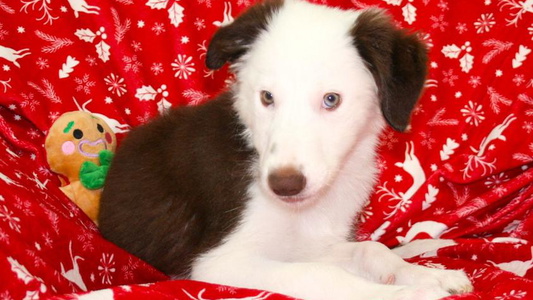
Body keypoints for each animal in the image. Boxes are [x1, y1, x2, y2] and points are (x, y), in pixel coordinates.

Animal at [97, 1, 472, 298]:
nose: (284, 185)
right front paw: (406, 292)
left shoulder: (311, 245)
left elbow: (370, 249)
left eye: (331, 99)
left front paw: (428, 274)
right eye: (267, 97)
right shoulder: (218, 261)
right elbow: (323, 275)